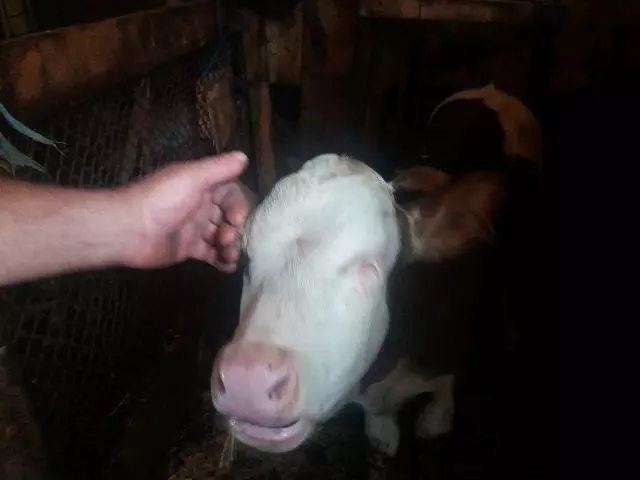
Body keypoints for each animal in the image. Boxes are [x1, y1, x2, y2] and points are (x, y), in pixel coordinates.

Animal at [209, 82, 542, 458]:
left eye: (369, 268)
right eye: (247, 259)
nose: (247, 379)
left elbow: (448, 382)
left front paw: (436, 419)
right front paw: (382, 431)